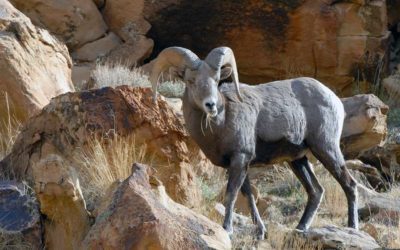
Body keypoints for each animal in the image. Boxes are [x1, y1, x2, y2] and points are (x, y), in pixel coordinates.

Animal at [151, 46, 360, 239]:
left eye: (217, 80)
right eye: (190, 81)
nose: (210, 105)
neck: (221, 123)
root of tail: (334, 99)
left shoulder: (240, 159)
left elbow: (231, 195)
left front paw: (227, 229)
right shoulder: (238, 164)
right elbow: (249, 196)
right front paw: (260, 232)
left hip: (326, 148)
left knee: (349, 184)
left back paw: (352, 227)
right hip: (297, 160)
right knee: (316, 191)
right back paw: (300, 228)